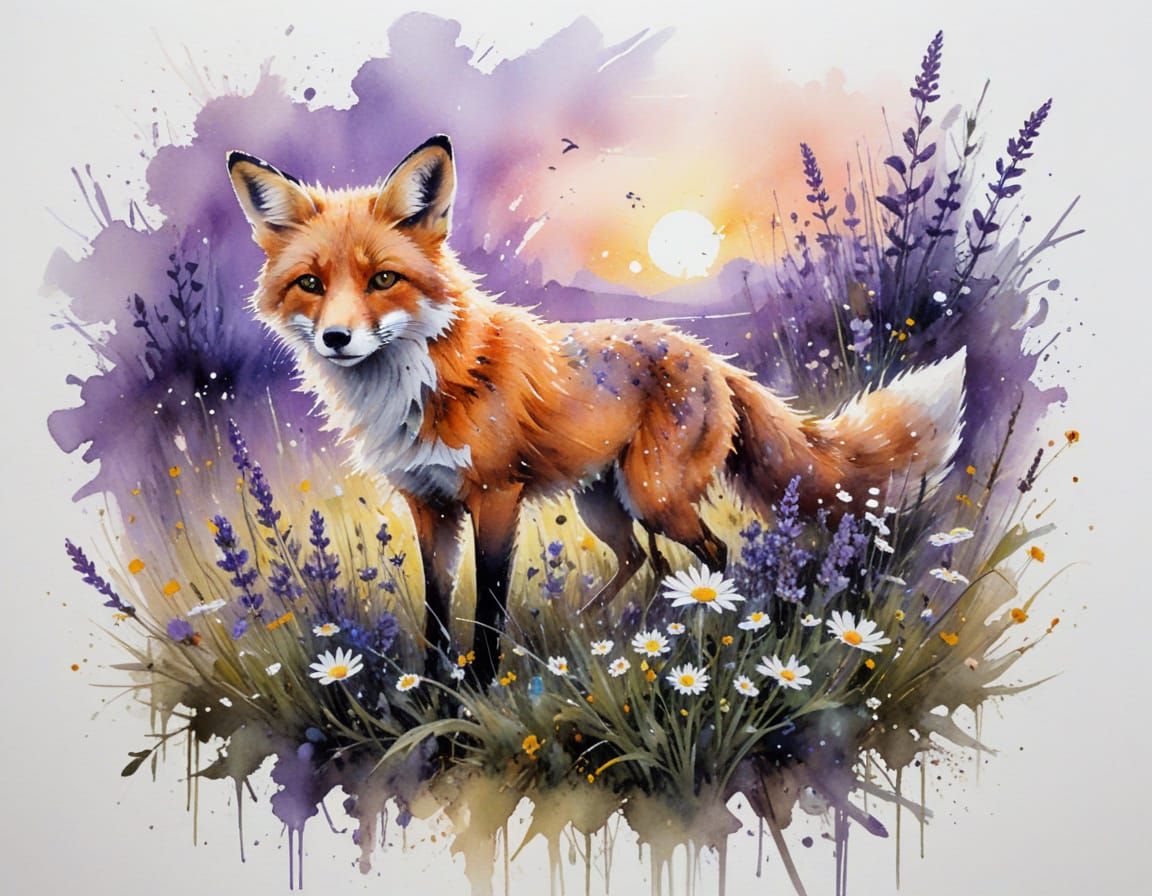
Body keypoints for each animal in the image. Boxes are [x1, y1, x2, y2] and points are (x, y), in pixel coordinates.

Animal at [227, 135, 966, 683]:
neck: (417, 387)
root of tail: (711, 356)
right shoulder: (428, 505)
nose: (337, 338)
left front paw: (479, 691)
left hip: (654, 494)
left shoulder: (495, 497)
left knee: (713, 553)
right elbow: (437, 613)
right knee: (645, 562)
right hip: (603, 504)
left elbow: (487, 608)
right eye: (311, 284)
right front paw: (433, 692)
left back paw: (701, 625)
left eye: (383, 278)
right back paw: (609, 625)